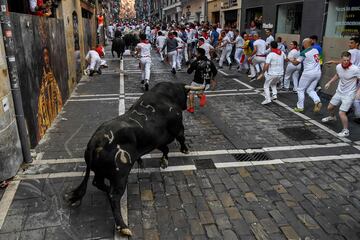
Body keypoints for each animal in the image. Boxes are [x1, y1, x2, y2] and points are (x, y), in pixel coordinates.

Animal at [66, 81, 204, 235]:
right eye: (185, 94)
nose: (186, 106)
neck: (167, 95)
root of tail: (95, 141)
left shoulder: (157, 141)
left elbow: (165, 149)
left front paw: (163, 162)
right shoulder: (177, 128)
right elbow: (181, 138)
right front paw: (185, 150)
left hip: (101, 172)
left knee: (98, 182)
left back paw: (107, 191)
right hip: (120, 175)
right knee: (114, 197)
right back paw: (123, 227)